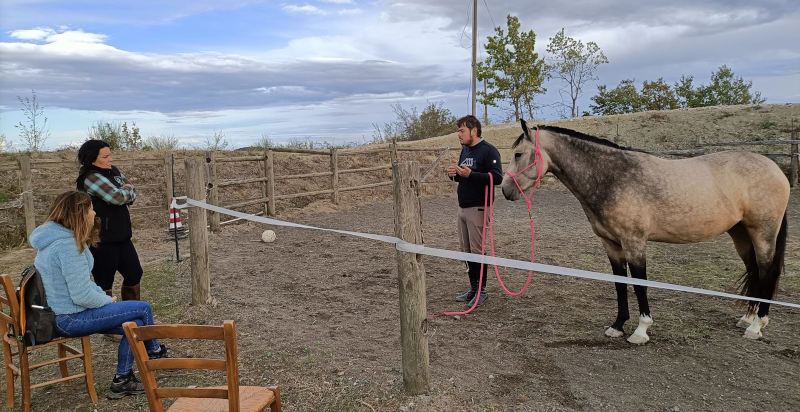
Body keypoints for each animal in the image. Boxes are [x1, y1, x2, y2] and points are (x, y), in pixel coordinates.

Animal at [502, 120, 789, 344]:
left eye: (518, 155)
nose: (505, 190)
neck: (615, 177)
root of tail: (775, 168)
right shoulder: (612, 245)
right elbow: (620, 283)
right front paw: (617, 326)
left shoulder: (634, 243)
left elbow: (640, 284)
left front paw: (640, 331)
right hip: (741, 234)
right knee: (754, 270)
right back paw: (747, 318)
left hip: (762, 234)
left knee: (767, 271)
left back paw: (757, 326)